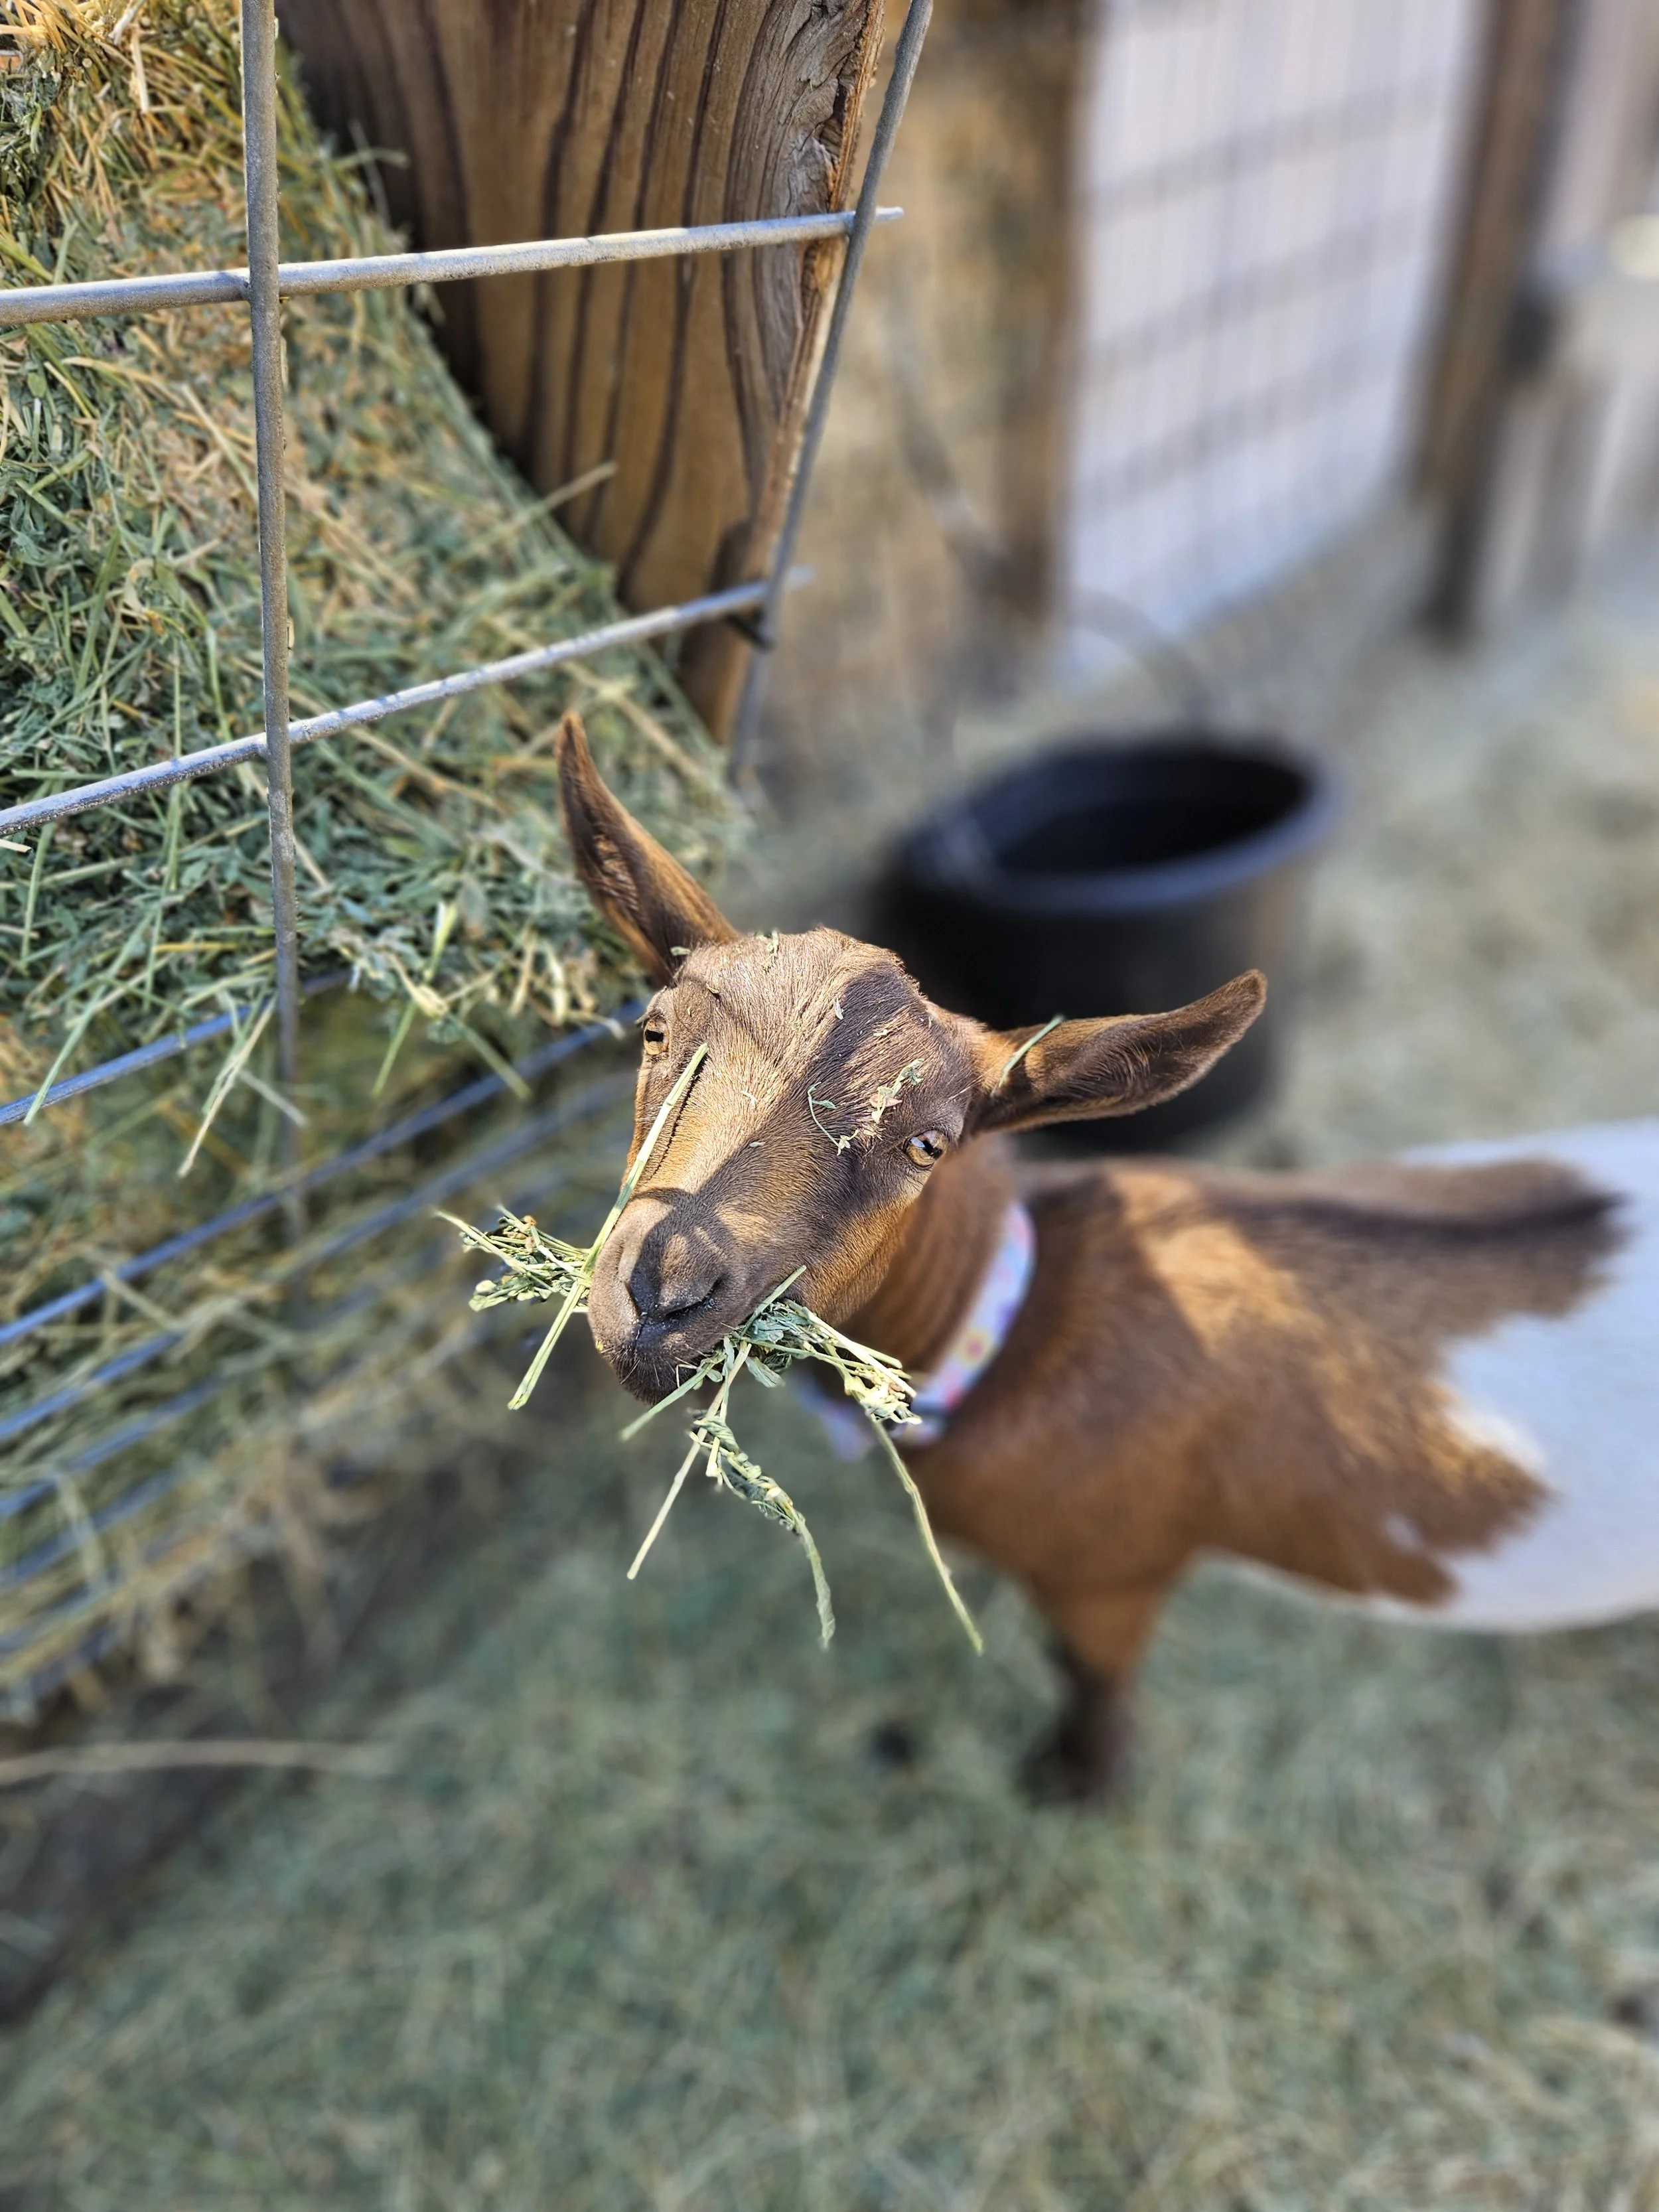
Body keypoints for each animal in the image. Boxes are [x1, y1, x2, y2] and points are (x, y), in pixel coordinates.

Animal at [555, 713, 1659, 1801]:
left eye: (929, 1144)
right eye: (655, 1031)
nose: (662, 1292)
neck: (1016, 1320)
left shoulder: (1107, 1577)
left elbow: (1090, 1683)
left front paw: (1073, 1779)